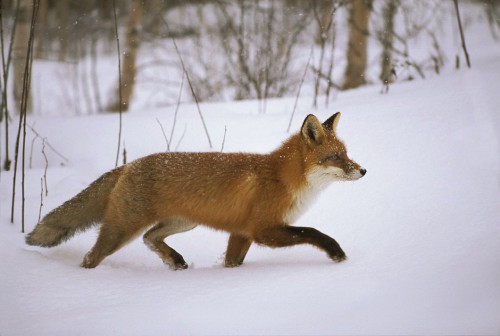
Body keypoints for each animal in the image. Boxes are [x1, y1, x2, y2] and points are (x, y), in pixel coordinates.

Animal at [26, 113, 364, 270]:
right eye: (336, 157)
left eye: (347, 154)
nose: (363, 171)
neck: (282, 178)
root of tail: (129, 164)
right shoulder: (263, 229)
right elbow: (313, 232)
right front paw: (336, 252)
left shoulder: (241, 233)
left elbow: (232, 262)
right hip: (121, 230)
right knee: (92, 256)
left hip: (183, 222)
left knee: (150, 238)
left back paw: (174, 260)